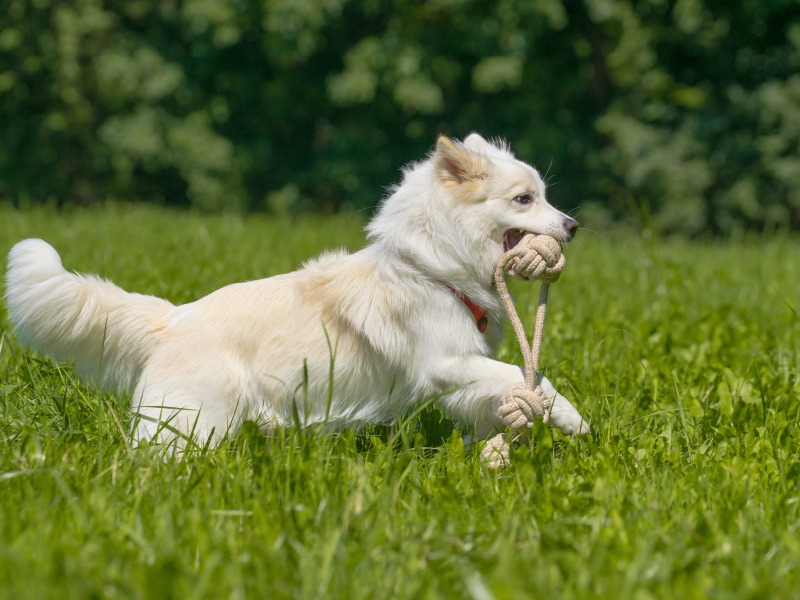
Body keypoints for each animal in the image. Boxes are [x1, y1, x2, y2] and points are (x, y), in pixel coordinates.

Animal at [4, 135, 588, 446]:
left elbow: (508, 387)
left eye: (544, 195)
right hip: (189, 431)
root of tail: (173, 319)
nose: (574, 225)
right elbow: (526, 377)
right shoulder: (445, 362)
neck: (430, 267)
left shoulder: (459, 373)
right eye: (524, 199)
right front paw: (571, 419)